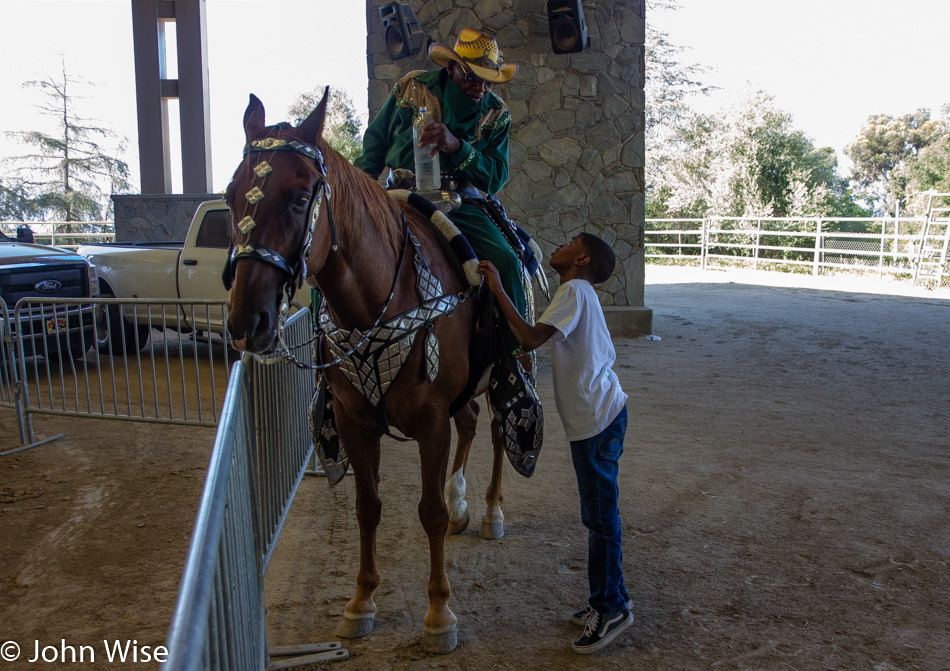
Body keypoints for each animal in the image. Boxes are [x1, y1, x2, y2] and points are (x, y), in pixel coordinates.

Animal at [223, 92, 510, 652]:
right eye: (229, 196)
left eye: (300, 198)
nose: (248, 322)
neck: (379, 301)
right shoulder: (354, 421)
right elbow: (368, 505)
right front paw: (361, 601)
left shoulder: (430, 422)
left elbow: (428, 513)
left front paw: (439, 613)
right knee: (470, 424)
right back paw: (464, 503)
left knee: (497, 432)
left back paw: (489, 511)